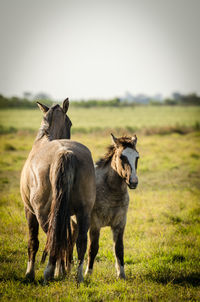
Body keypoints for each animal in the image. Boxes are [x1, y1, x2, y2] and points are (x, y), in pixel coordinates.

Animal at [20, 99, 96, 284]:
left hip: (43, 213)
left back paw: (49, 272)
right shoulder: (67, 213)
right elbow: (68, 238)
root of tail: (65, 152)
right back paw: (78, 276)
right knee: (80, 240)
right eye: (70, 123)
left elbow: (33, 242)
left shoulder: (29, 211)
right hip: (84, 211)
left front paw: (30, 273)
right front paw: (63, 270)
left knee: (52, 237)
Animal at [67, 133, 139, 280]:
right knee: (70, 243)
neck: (110, 191)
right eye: (121, 157)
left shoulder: (120, 224)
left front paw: (121, 275)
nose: (133, 182)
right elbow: (93, 248)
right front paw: (88, 273)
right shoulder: (95, 224)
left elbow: (119, 249)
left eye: (137, 157)